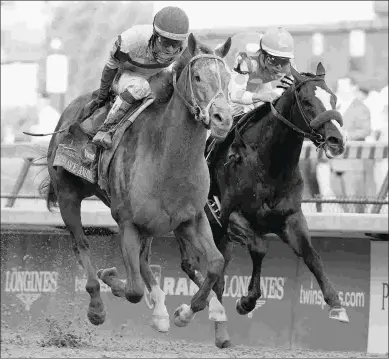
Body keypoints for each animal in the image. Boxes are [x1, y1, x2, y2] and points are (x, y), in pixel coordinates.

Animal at [40, 33, 233, 334]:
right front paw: (110, 276)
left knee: (144, 260)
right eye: (198, 76)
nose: (223, 119)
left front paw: (186, 312)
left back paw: (162, 310)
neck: (168, 160)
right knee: (82, 245)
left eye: (228, 78)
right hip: (67, 194)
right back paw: (97, 305)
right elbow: (132, 290)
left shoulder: (191, 219)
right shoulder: (128, 223)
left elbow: (215, 264)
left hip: (153, 224)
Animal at [176, 62, 348, 348]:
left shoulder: (290, 217)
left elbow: (311, 255)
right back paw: (192, 310)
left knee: (218, 275)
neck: (269, 164)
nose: (337, 140)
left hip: (219, 237)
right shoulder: (231, 216)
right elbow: (259, 247)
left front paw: (336, 304)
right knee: (191, 265)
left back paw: (221, 331)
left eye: (333, 98)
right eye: (307, 101)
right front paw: (246, 301)